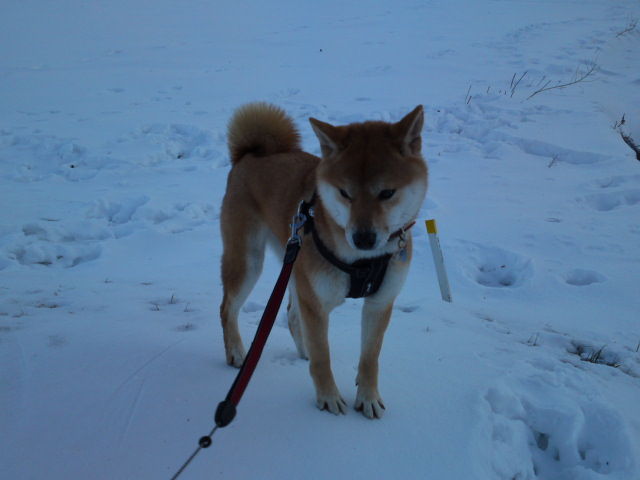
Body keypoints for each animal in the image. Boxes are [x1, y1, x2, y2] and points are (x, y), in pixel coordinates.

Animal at [219, 103, 427, 419]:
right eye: (345, 194)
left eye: (387, 193)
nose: (363, 238)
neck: (362, 261)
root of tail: (250, 155)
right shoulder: (316, 303)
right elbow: (322, 358)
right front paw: (328, 397)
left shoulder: (380, 303)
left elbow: (370, 357)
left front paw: (368, 397)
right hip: (249, 262)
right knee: (227, 308)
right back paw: (235, 352)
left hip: (292, 265)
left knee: (292, 314)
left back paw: (302, 349)